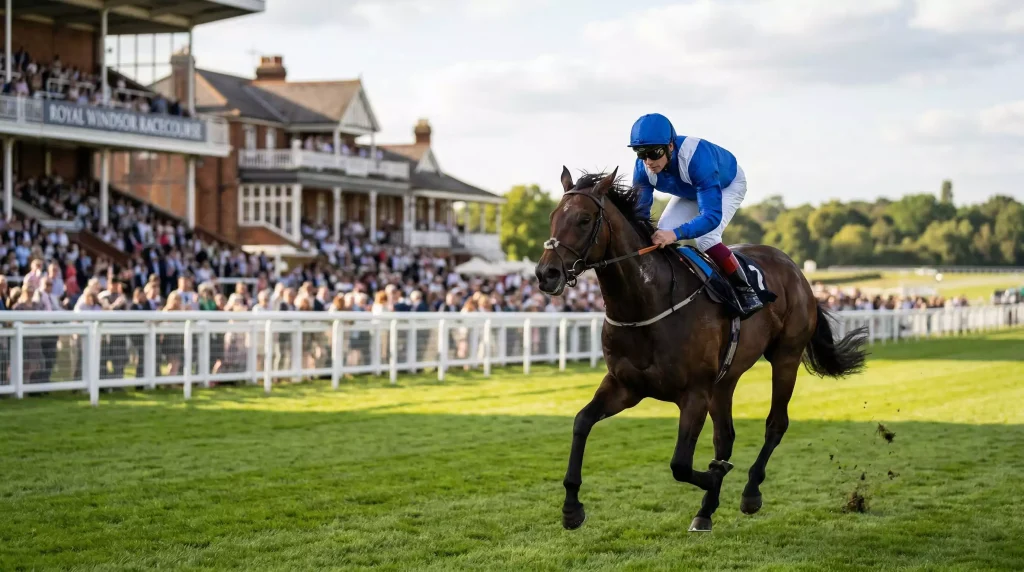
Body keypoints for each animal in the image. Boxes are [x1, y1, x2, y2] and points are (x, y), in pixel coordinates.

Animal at [534, 167, 869, 532]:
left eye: (584, 219)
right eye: (552, 217)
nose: (545, 273)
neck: (646, 303)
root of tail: (794, 268)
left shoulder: (694, 393)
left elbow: (680, 464)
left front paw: (716, 475)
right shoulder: (625, 386)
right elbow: (581, 422)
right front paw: (571, 507)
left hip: (785, 357)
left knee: (775, 424)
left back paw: (750, 492)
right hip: (725, 380)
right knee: (726, 436)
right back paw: (706, 511)